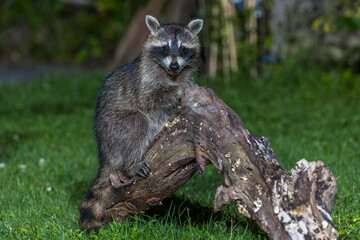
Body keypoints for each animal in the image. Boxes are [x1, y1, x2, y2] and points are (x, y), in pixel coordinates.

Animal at [80, 14, 202, 231]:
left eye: (182, 49)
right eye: (165, 48)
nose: (174, 66)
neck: (171, 74)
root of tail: (105, 154)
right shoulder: (144, 80)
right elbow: (150, 97)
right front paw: (177, 90)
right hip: (113, 128)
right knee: (136, 123)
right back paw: (131, 164)